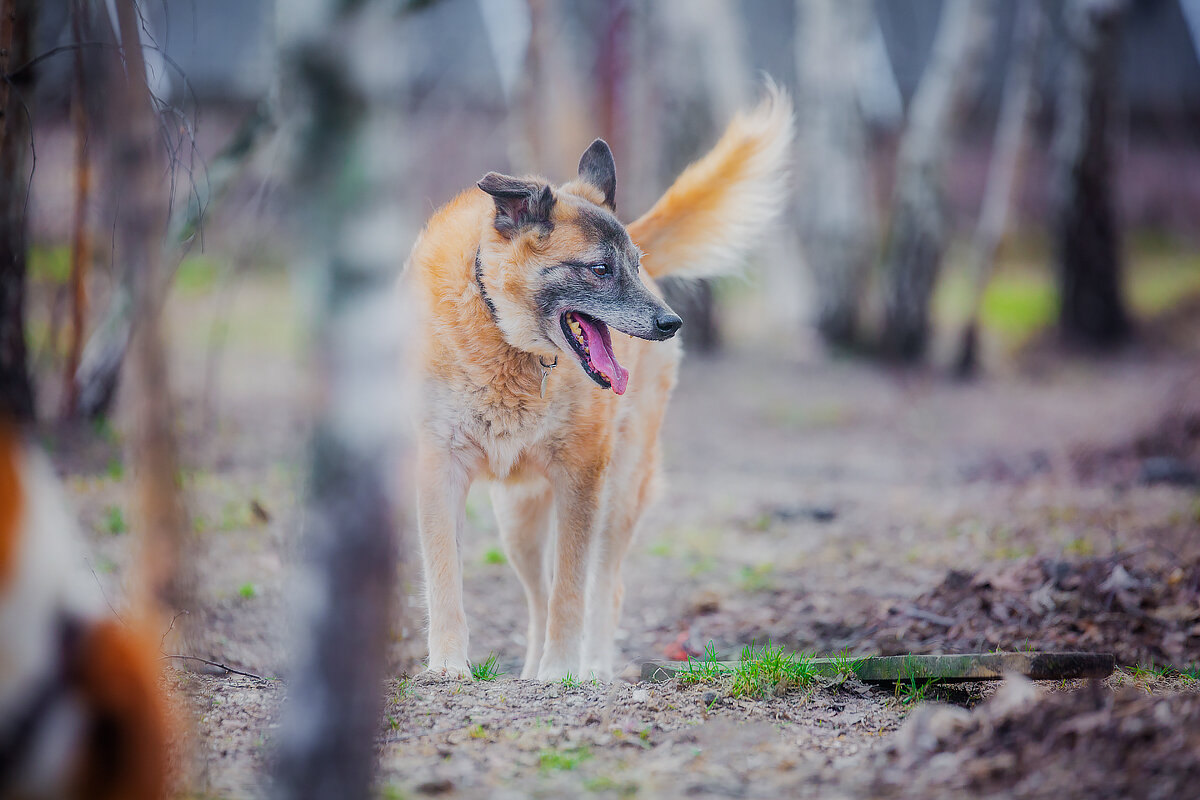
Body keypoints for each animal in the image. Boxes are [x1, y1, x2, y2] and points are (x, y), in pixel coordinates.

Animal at [408, 84, 792, 681]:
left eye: (632, 263)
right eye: (599, 269)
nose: (671, 322)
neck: (505, 338)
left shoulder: (581, 476)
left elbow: (572, 591)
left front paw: (564, 672)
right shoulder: (438, 468)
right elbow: (446, 578)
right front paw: (449, 665)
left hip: (620, 493)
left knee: (602, 588)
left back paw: (592, 669)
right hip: (517, 521)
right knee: (537, 595)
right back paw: (532, 670)